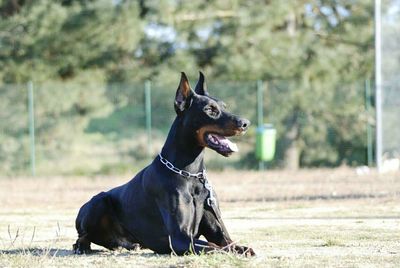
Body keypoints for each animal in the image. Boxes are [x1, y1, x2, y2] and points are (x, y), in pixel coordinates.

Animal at [73, 72, 255, 256]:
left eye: (225, 107)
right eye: (210, 110)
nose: (245, 123)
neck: (190, 173)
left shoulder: (217, 229)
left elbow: (230, 243)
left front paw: (243, 249)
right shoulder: (179, 238)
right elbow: (213, 246)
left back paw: (128, 245)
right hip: (98, 201)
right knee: (81, 237)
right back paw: (83, 247)